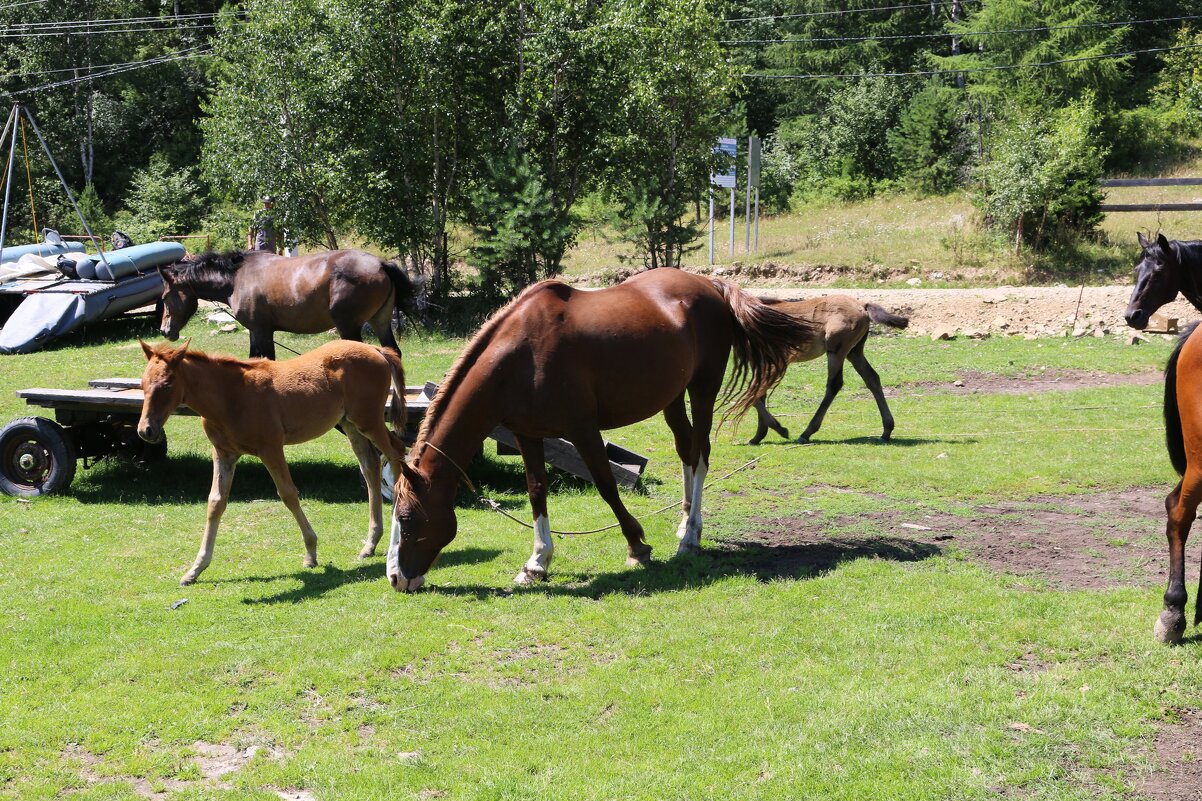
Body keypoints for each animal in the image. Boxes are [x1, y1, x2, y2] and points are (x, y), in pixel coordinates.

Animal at [138, 334, 406, 584]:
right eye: (142, 383)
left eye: (168, 385)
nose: (146, 430)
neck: (231, 397)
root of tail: (375, 349)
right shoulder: (224, 454)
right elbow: (216, 502)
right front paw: (195, 569)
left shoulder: (271, 449)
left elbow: (288, 494)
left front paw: (311, 553)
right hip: (350, 423)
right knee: (370, 465)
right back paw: (370, 544)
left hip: (368, 420)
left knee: (395, 452)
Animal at [158, 250, 418, 358]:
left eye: (165, 298)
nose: (164, 331)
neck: (237, 277)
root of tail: (381, 264)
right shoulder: (255, 331)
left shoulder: (263, 331)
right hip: (380, 322)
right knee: (392, 352)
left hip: (349, 328)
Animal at [384, 269, 817, 591]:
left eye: (407, 519)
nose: (395, 578)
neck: (522, 357)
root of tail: (710, 285)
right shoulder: (528, 435)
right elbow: (536, 491)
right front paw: (537, 563)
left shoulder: (583, 430)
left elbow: (607, 485)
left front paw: (637, 546)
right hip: (672, 396)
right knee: (685, 450)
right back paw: (683, 522)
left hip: (703, 387)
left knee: (700, 453)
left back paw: (691, 536)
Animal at [745, 293, 903, 442]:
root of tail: (862, 306)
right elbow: (759, 392)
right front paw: (758, 436)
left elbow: (753, 393)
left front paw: (779, 429)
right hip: (854, 352)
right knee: (872, 378)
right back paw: (886, 431)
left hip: (836, 351)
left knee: (834, 384)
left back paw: (806, 433)